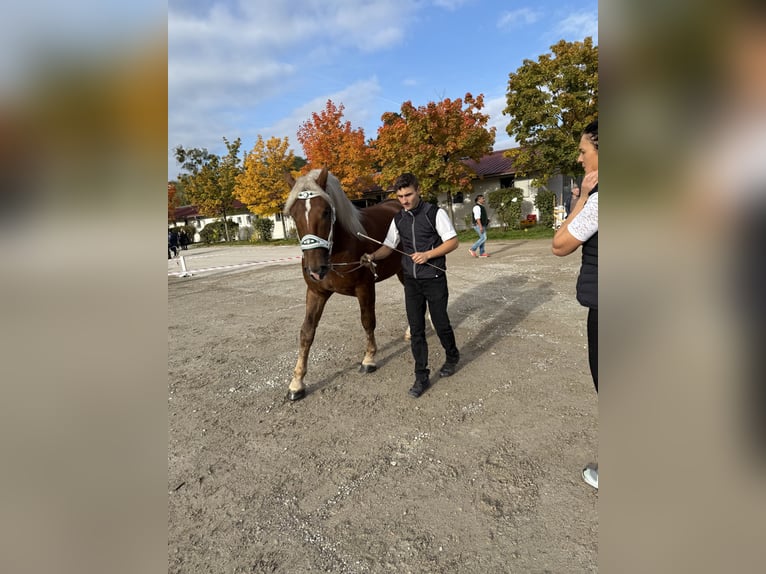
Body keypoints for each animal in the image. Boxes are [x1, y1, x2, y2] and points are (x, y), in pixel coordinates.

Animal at [283, 167, 404, 401]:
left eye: (326, 212)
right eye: (293, 214)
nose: (315, 269)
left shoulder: (365, 288)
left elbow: (368, 321)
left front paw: (369, 359)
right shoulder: (316, 293)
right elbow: (306, 332)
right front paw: (297, 382)